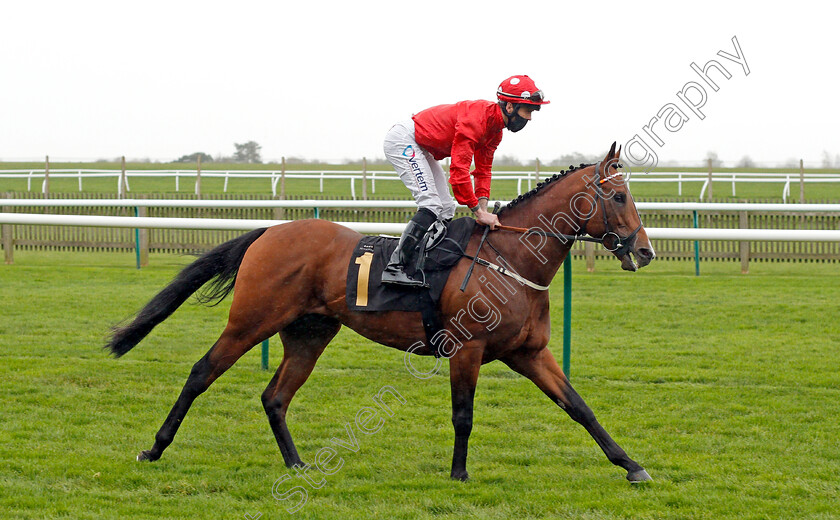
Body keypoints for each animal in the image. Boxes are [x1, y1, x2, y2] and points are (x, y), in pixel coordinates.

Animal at [106, 141, 656, 484]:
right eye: (619, 195)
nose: (645, 251)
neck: (510, 258)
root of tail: (268, 232)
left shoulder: (530, 352)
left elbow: (580, 407)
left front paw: (631, 465)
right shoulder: (468, 348)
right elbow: (463, 414)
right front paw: (459, 473)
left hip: (309, 333)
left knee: (275, 396)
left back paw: (297, 464)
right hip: (250, 321)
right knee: (202, 372)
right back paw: (154, 447)